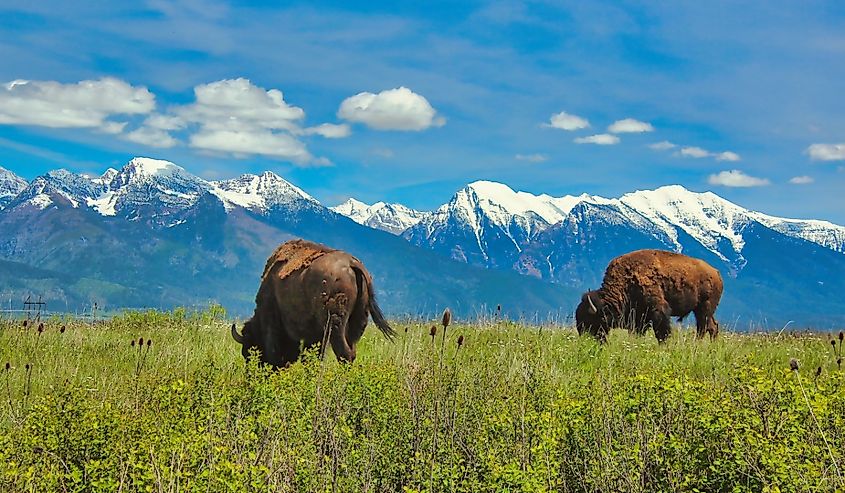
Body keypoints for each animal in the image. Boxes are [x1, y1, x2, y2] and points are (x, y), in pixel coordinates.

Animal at [231, 236, 396, 368]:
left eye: (249, 351)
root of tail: (352, 264)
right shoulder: (313, 336)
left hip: (334, 324)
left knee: (344, 353)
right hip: (358, 320)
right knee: (351, 351)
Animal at [576, 250, 724, 342]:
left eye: (590, 320)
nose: (583, 335)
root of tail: (716, 273)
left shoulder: (658, 310)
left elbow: (661, 332)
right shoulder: (638, 317)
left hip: (704, 309)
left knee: (703, 327)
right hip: (702, 310)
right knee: (712, 327)